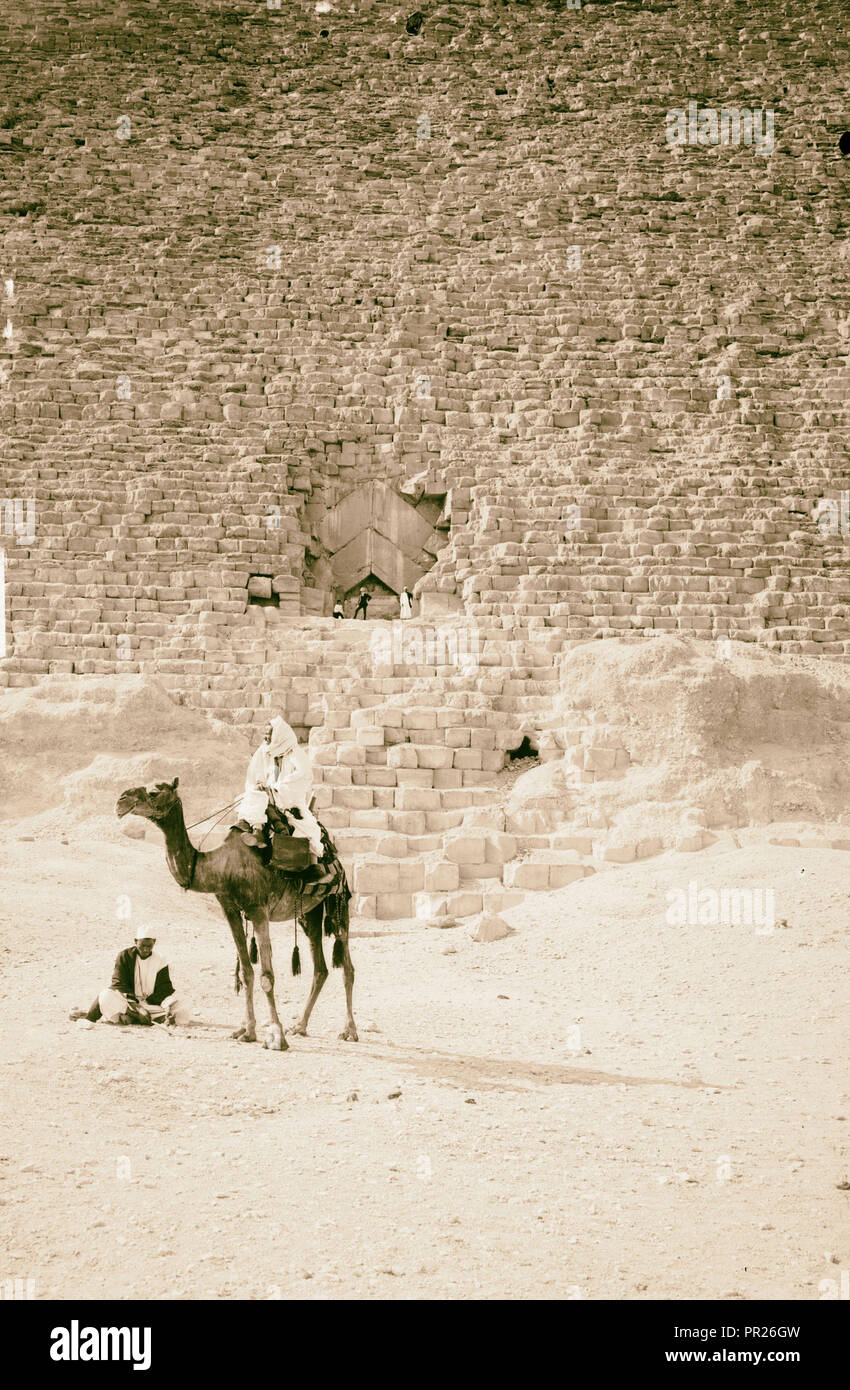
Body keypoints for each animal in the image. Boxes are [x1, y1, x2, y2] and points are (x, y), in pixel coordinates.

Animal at [113, 778, 355, 1045]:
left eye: (154, 791)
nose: (121, 800)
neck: (221, 867)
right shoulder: (229, 909)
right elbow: (247, 972)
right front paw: (247, 1031)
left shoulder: (258, 910)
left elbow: (267, 976)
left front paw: (276, 1035)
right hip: (309, 912)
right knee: (321, 968)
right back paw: (300, 1026)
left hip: (339, 902)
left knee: (347, 967)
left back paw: (349, 1031)